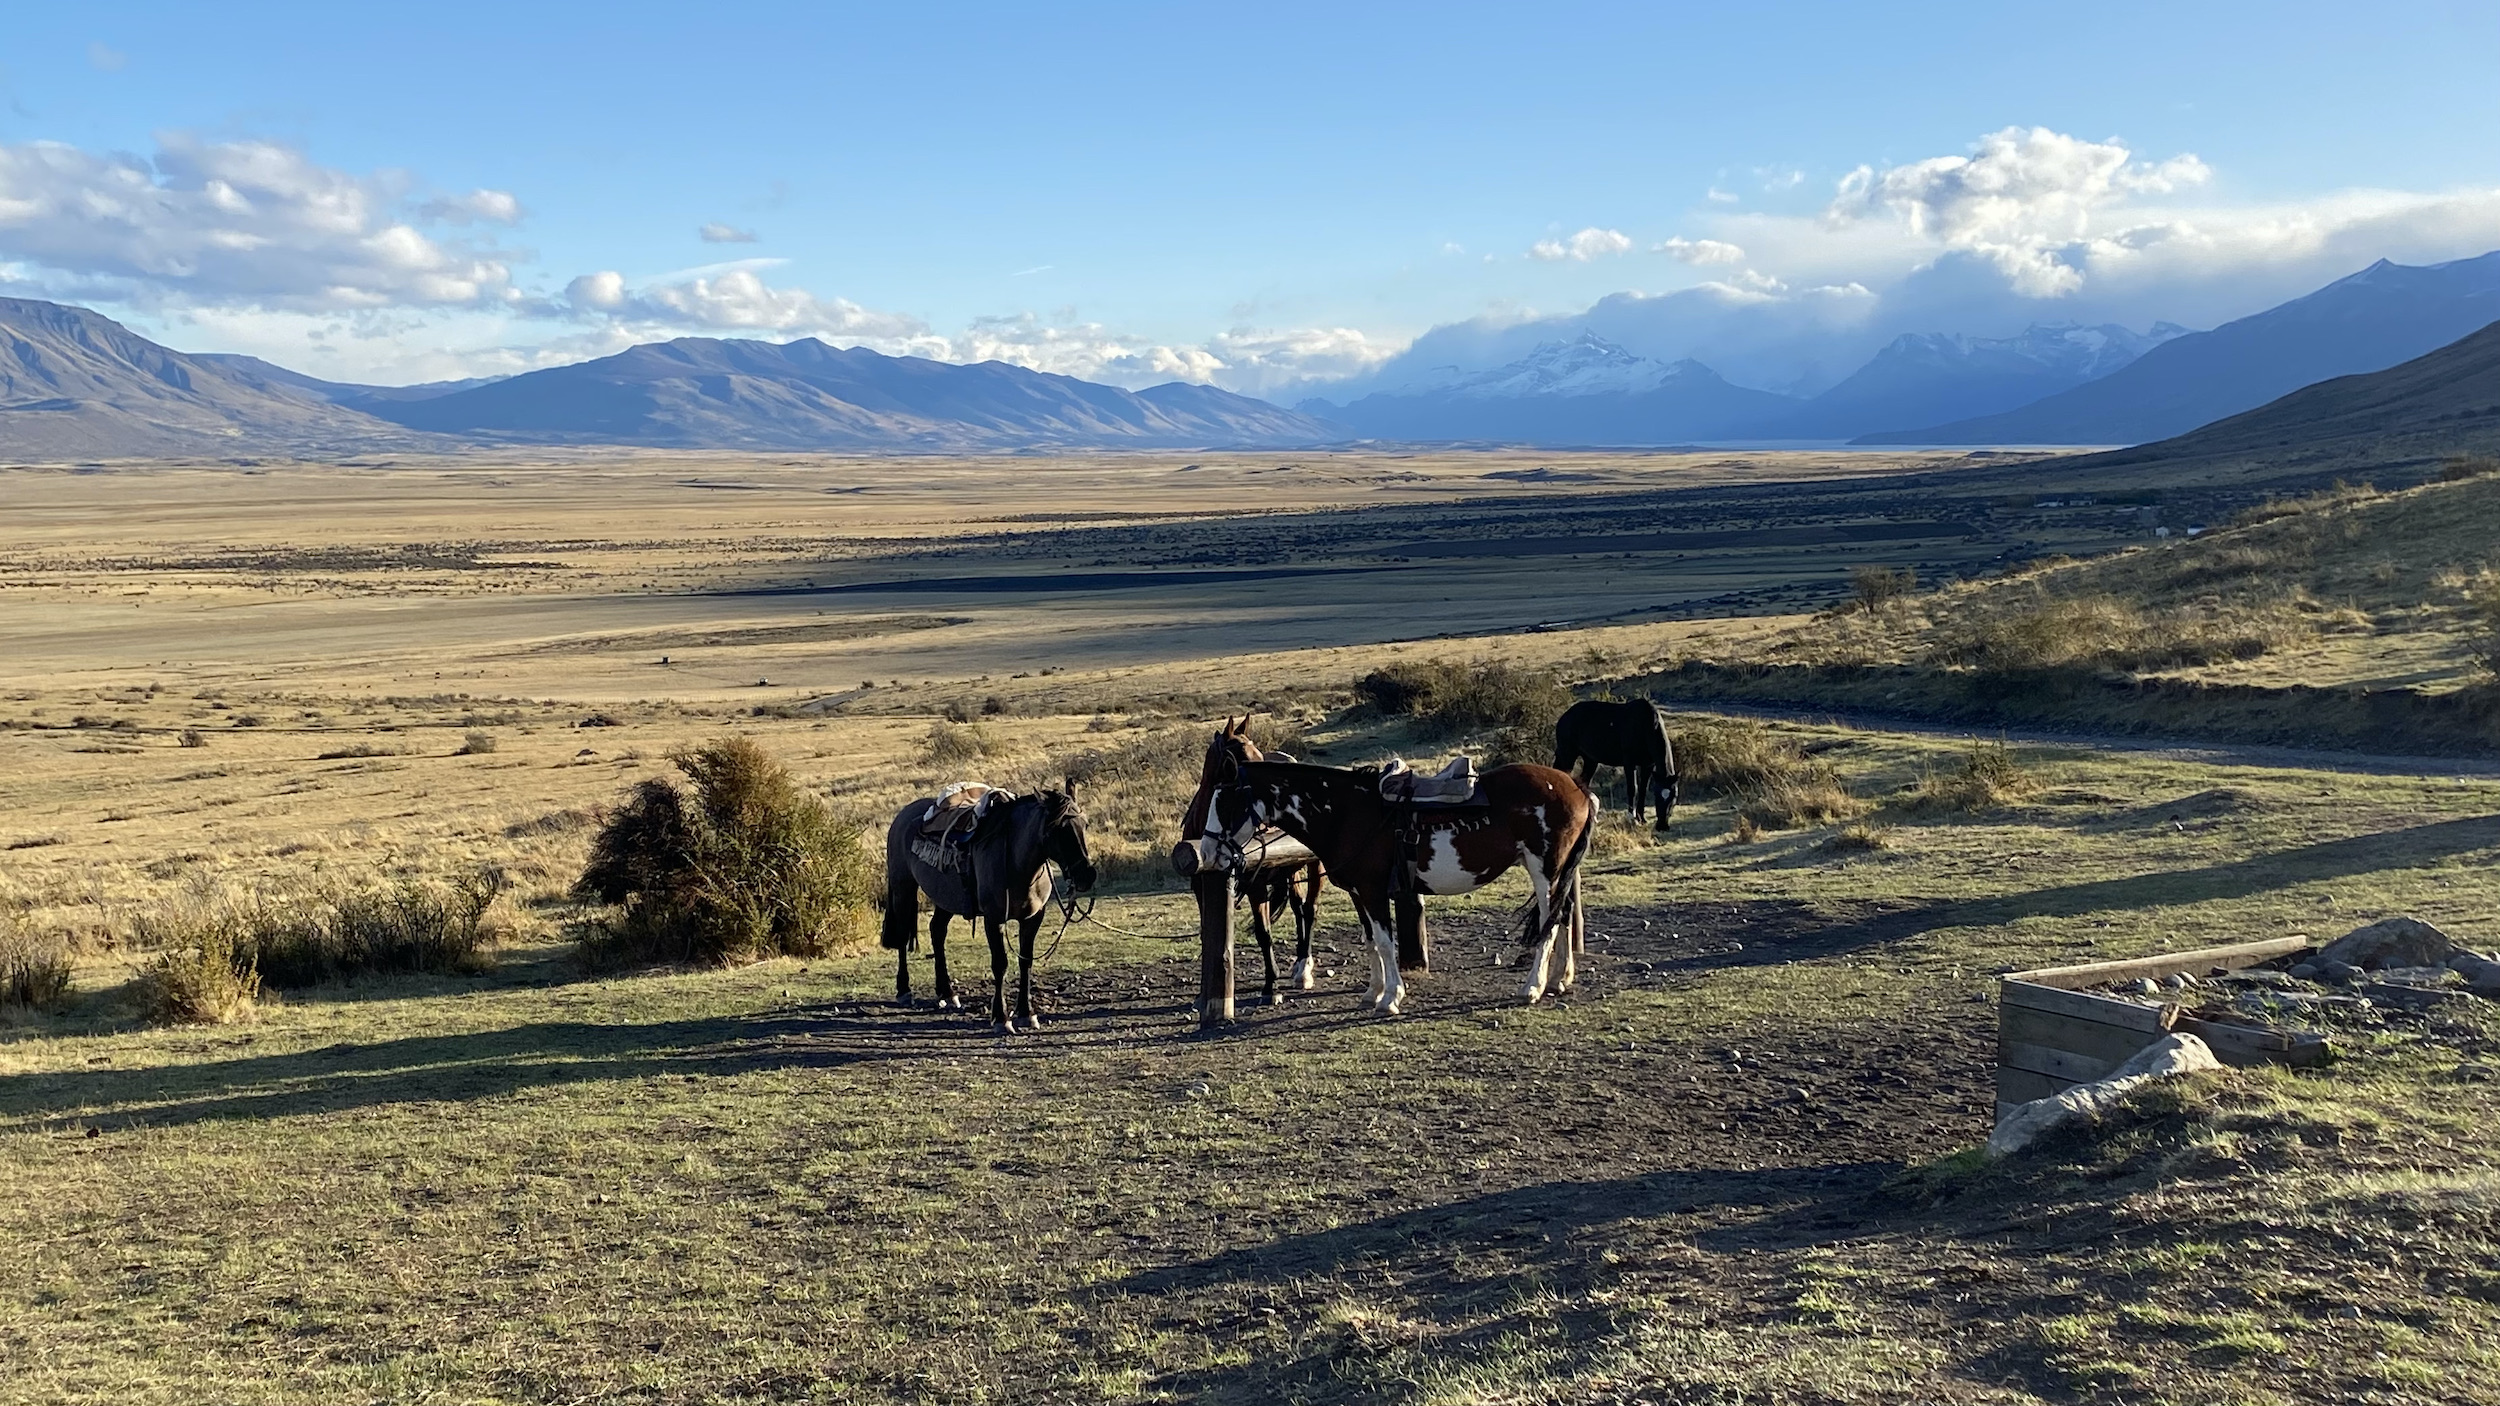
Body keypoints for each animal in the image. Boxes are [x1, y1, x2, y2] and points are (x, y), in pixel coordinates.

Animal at [881, 783, 1098, 1031]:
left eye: (1085, 824)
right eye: (1057, 829)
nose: (1086, 876)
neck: (1017, 863)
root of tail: (904, 814)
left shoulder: (1033, 918)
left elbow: (1026, 961)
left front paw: (1026, 1013)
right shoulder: (994, 918)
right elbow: (1000, 964)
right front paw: (1001, 1018)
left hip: (946, 898)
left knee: (937, 931)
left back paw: (947, 992)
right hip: (903, 888)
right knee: (902, 936)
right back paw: (904, 990)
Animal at [1175, 717, 1331, 1004]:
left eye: (1260, 756)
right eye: (1242, 760)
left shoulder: (1256, 885)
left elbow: (1263, 932)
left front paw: (1270, 986)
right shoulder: (1201, 888)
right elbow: (1206, 933)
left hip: (1315, 866)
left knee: (1309, 909)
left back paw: (1304, 969)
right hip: (1290, 870)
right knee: (1297, 906)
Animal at [1201, 757, 1595, 1013]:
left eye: (1225, 803)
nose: (1206, 853)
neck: (1346, 812)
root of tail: (1576, 786)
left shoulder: (1374, 891)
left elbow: (1386, 942)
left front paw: (1391, 997)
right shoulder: (1358, 892)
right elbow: (1371, 940)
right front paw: (1373, 991)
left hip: (1545, 870)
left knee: (1549, 923)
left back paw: (1532, 987)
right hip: (1556, 873)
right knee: (1563, 916)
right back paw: (1560, 979)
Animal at [1553, 696, 1679, 831]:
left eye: (1674, 797)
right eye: (1657, 796)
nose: (1662, 826)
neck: (1644, 724)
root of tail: (1564, 717)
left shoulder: (1648, 766)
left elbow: (1643, 790)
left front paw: (1641, 819)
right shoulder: (1629, 763)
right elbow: (1633, 788)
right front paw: (1631, 818)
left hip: (1590, 760)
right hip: (1568, 755)